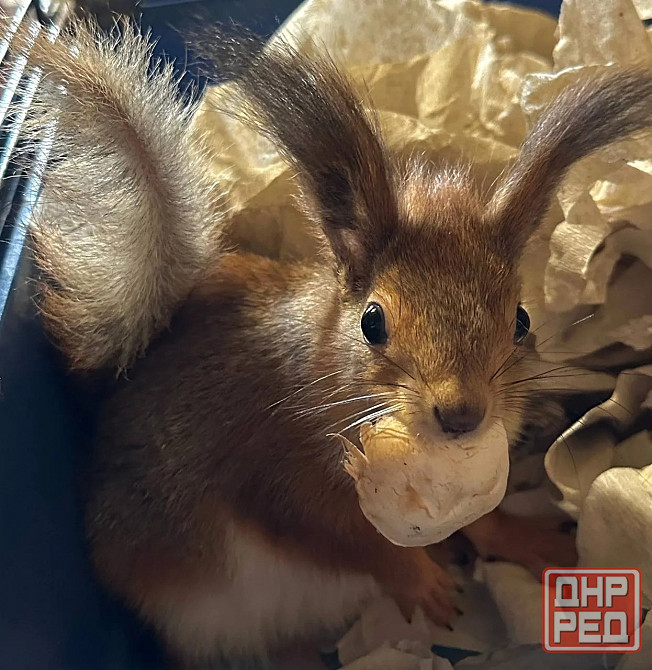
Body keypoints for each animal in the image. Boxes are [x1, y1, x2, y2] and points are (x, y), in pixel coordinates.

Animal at [12, 16, 652, 669]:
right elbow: (343, 541)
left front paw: (528, 540)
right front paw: (420, 580)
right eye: (372, 322)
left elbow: (478, 516)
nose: (462, 416)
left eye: (521, 320)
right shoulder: (281, 476)